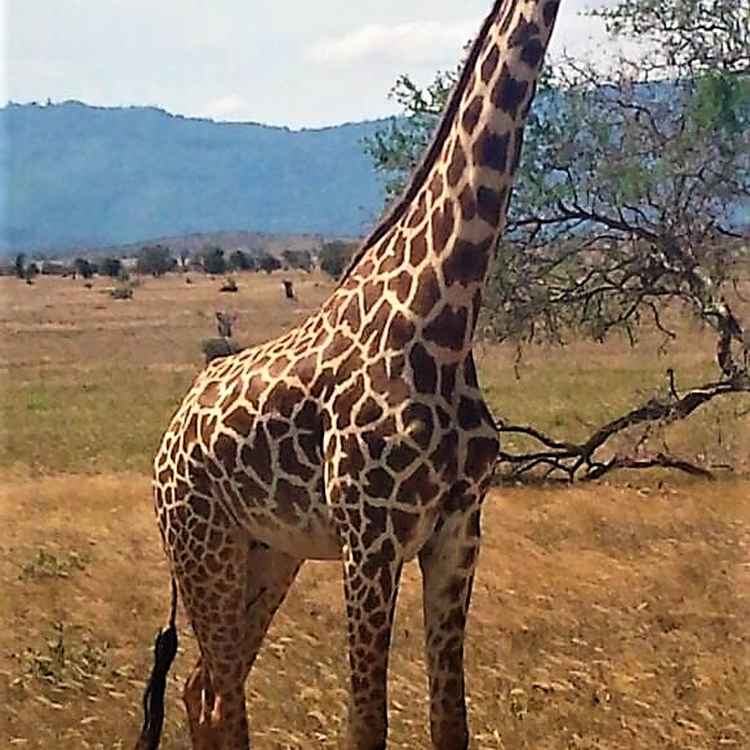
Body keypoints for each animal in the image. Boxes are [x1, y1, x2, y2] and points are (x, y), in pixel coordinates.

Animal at [136, 1, 560, 748]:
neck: (446, 319)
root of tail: (169, 438)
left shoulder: (458, 533)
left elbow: (450, 723)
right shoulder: (371, 539)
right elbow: (365, 723)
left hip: (269, 554)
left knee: (203, 689)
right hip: (202, 548)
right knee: (219, 693)